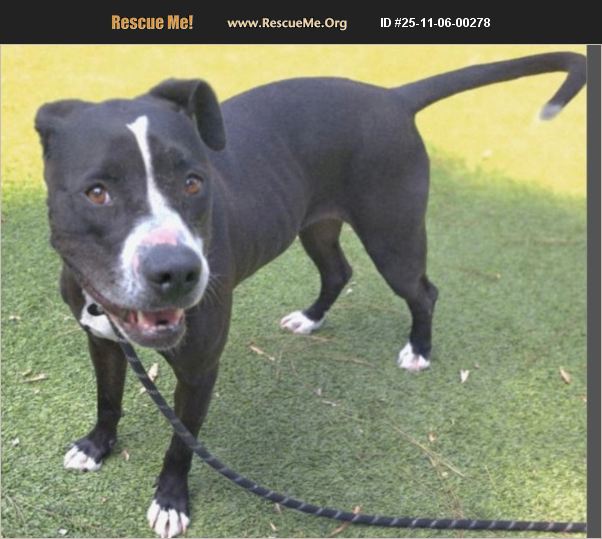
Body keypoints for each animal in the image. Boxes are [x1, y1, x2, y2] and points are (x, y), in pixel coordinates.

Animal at [35, 52, 585, 538]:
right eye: (97, 192)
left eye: (193, 182)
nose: (177, 272)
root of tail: (392, 97)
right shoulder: (101, 339)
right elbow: (108, 398)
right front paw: (97, 446)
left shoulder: (199, 369)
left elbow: (181, 444)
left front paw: (171, 501)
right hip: (316, 225)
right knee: (338, 272)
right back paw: (311, 318)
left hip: (393, 236)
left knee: (424, 291)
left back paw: (419, 349)